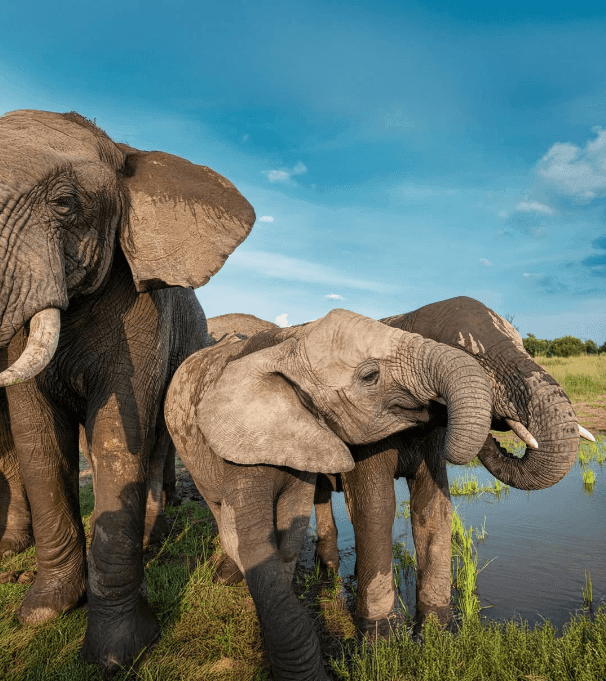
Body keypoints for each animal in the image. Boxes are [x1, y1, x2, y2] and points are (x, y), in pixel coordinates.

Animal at [0, 109, 255, 670]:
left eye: (64, 204)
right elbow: (36, 437)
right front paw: (45, 611)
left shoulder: (143, 316)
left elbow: (120, 438)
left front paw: (118, 652)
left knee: (156, 443)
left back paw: (149, 541)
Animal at [164, 308, 494, 681]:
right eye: (370, 376)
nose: (440, 412)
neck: (290, 344)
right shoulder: (242, 441)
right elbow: (248, 537)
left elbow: (291, 529)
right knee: (217, 510)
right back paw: (227, 575)